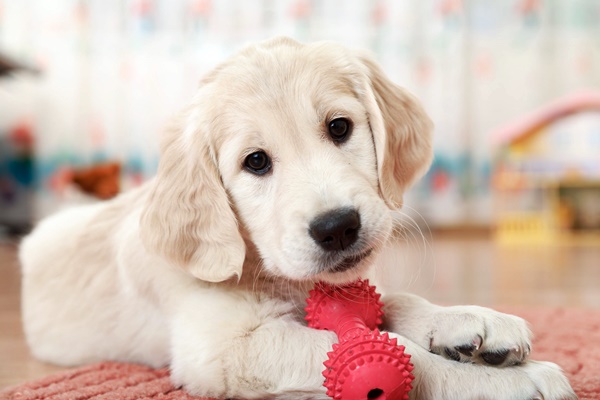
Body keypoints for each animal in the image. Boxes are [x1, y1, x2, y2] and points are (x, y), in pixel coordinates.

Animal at [19, 38, 576, 400]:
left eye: (340, 127)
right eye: (255, 162)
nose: (338, 227)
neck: (267, 269)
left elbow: (395, 302)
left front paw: (469, 321)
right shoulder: (220, 349)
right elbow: (395, 353)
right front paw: (508, 381)